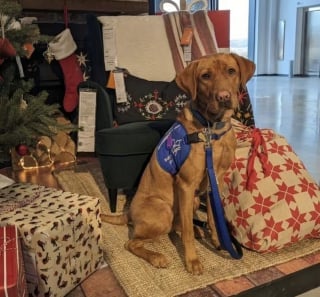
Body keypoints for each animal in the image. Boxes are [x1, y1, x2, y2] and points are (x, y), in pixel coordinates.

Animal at [102, 52, 255, 272]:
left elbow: (212, 217)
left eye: (231, 71)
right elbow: (188, 233)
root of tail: (128, 213)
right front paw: (192, 260)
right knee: (132, 242)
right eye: (205, 76)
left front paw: (218, 240)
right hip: (164, 211)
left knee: (179, 225)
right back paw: (157, 257)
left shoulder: (213, 182)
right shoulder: (186, 184)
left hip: (192, 201)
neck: (212, 129)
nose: (224, 97)